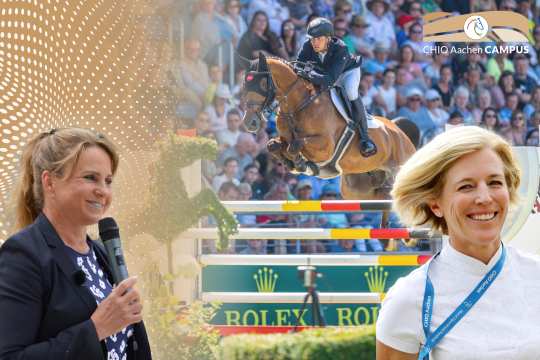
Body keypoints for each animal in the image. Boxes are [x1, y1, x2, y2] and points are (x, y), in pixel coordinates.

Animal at [242, 52, 418, 228]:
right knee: (384, 196)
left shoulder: (325, 146)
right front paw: (291, 163)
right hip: (355, 189)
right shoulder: (284, 139)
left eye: (263, 83)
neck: (298, 105)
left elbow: (295, 145)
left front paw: (300, 163)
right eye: (244, 85)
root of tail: (401, 134)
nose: (249, 122)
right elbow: (273, 145)